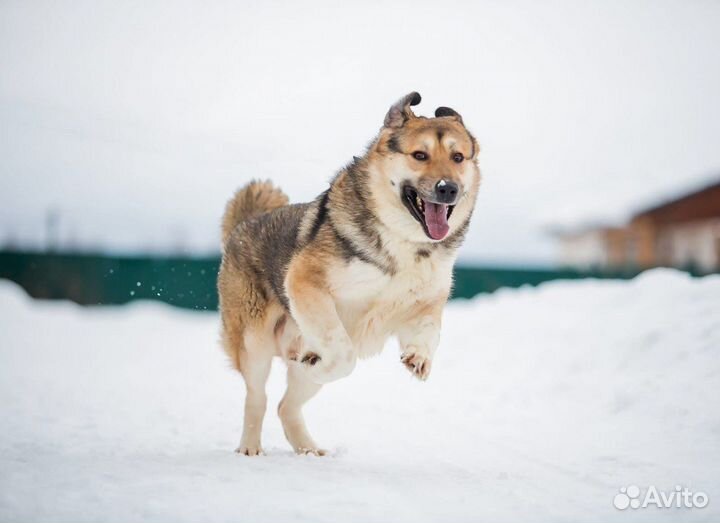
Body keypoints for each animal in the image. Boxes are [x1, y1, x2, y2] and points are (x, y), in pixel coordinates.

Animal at [217, 92, 480, 456]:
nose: (448, 189)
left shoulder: (423, 305)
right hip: (254, 343)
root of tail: (245, 224)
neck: (405, 245)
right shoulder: (306, 283)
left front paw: (418, 359)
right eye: (420, 155)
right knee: (258, 396)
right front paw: (322, 361)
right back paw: (250, 448)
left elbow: (430, 333)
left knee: (286, 406)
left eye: (458, 157)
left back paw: (308, 449)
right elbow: (342, 353)